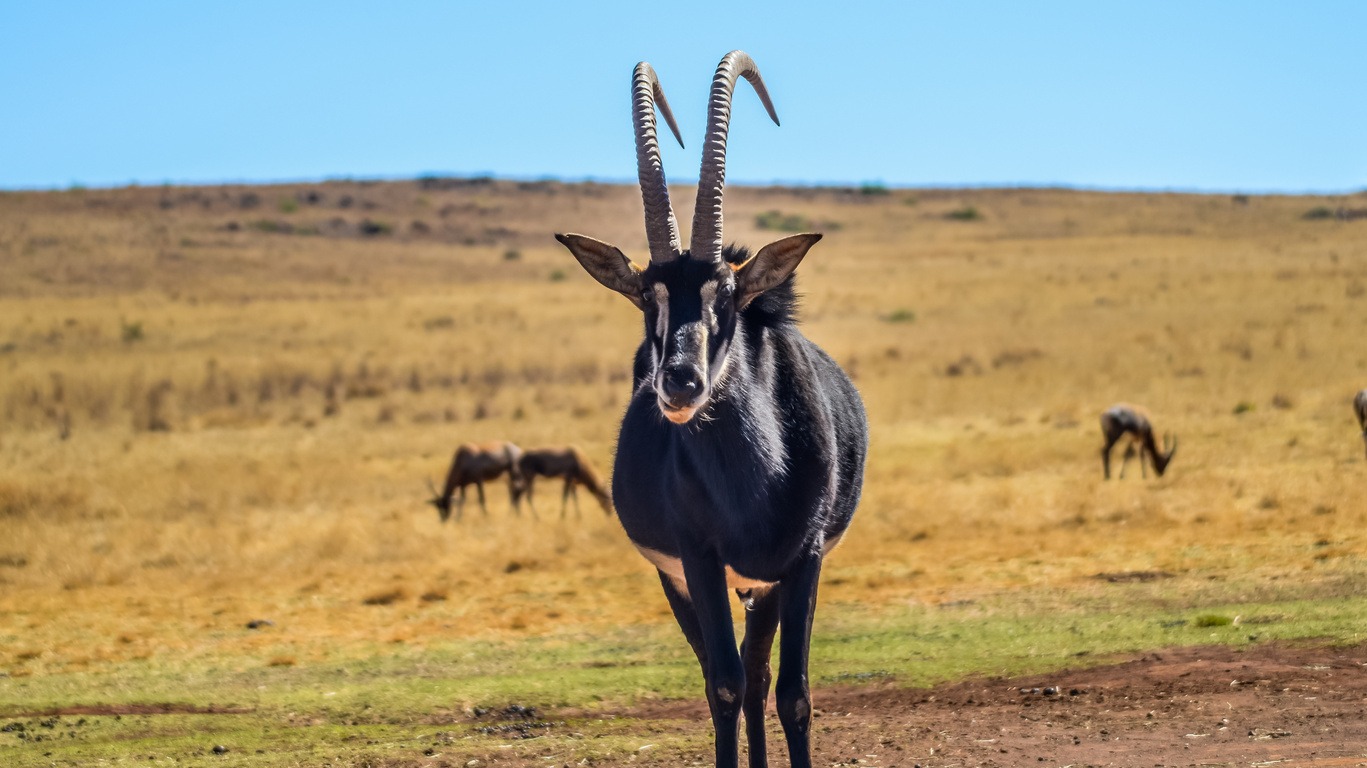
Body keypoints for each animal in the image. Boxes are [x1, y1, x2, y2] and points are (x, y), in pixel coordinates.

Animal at [552, 52, 863, 765]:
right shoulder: (698, 559)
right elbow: (722, 684)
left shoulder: (803, 561)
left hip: (763, 588)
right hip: (688, 582)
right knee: (730, 676)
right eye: (647, 295)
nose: (680, 384)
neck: (755, 480)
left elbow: (794, 694)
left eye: (726, 291)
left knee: (760, 676)